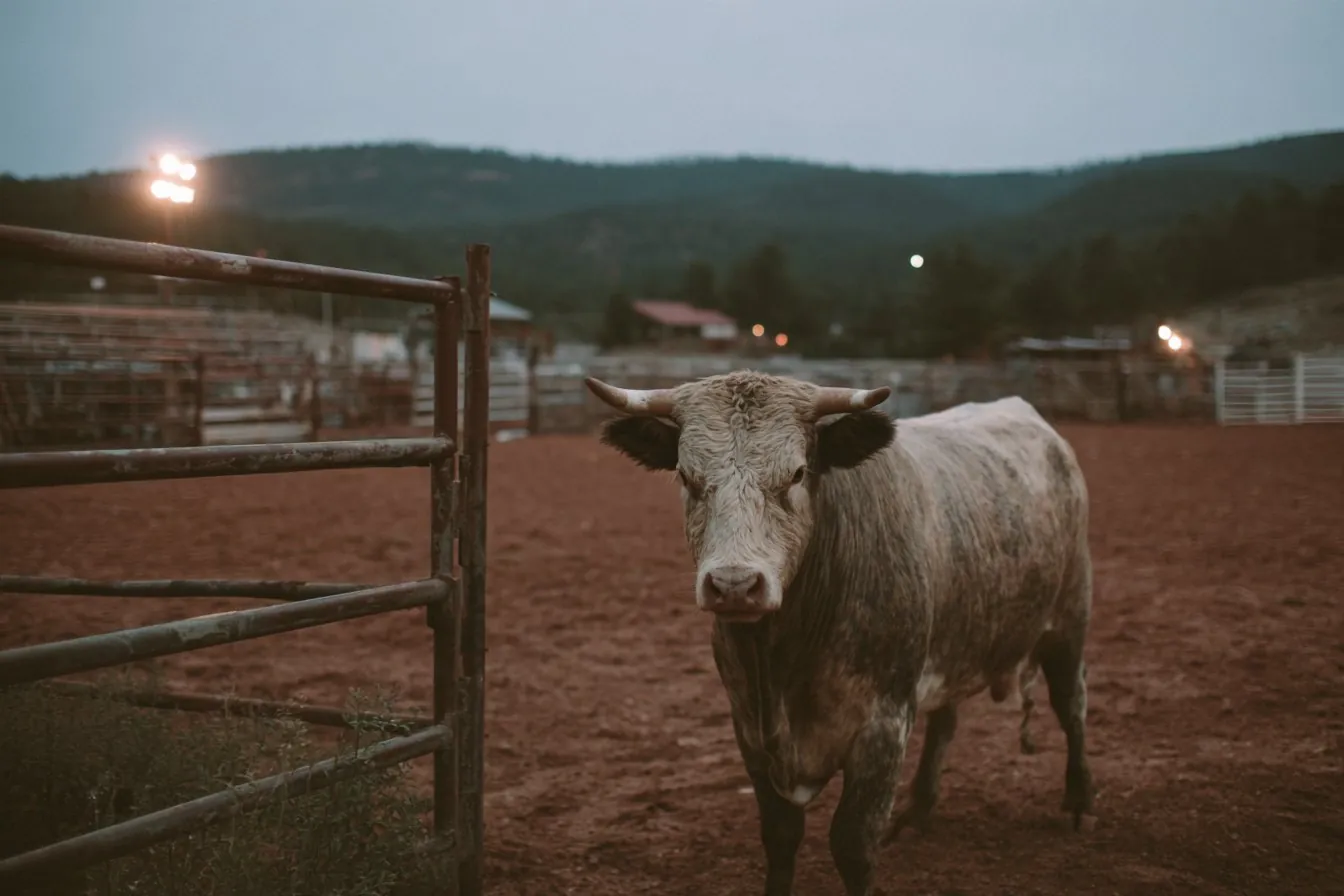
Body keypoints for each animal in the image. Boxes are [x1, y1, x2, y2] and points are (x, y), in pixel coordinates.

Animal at [586, 371, 1095, 896]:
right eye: (687, 477)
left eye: (796, 473)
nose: (734, 585)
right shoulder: (748, 727)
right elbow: (780, 835)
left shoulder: (883, 726)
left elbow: (853, 844)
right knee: (946, 719)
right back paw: (919, 809)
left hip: (1069, 617)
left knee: (1071, 702)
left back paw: (1079, 799)